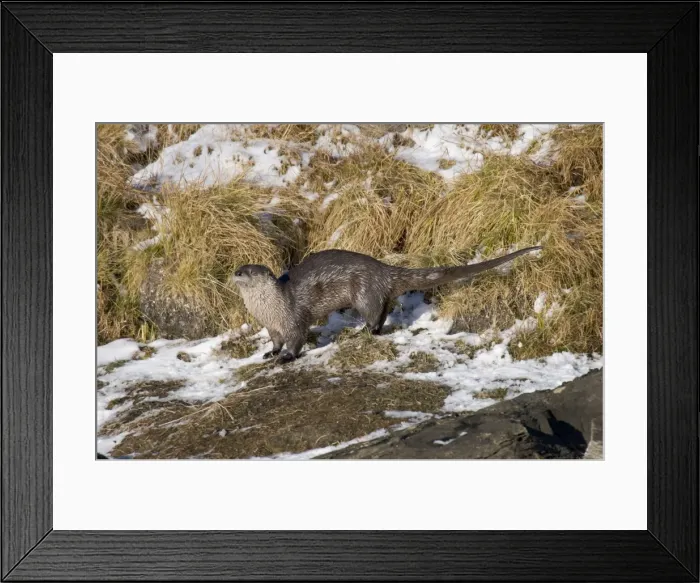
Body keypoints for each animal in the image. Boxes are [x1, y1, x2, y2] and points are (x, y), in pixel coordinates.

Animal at [231, 246, 541, 362]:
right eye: (240, 268)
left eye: (250, 272)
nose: (236, 273)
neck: (272, 308)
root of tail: (383, 270)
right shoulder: (272, 326)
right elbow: (275, 340)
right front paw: (271, 353)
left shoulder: (293, 317)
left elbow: (297, 339)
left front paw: (285, 357)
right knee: (384, 310)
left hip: (363, 291)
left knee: (375, 313)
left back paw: (364, 332)